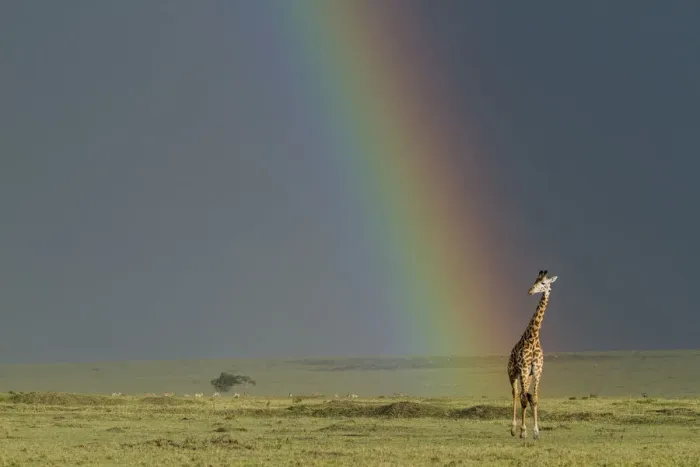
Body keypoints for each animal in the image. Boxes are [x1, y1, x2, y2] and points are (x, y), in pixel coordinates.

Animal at [507, 269, 558, 439]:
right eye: (534, 280)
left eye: (543, 283)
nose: (530, 291)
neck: (533, 337)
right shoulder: (523, 369)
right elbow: (523, 399)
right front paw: (523, 431)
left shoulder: (537, 371)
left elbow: (534, 399)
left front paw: (536, 432)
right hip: (513, 373)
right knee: (516, 394)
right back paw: (513, 429)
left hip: (527, 377)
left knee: (525, 394)